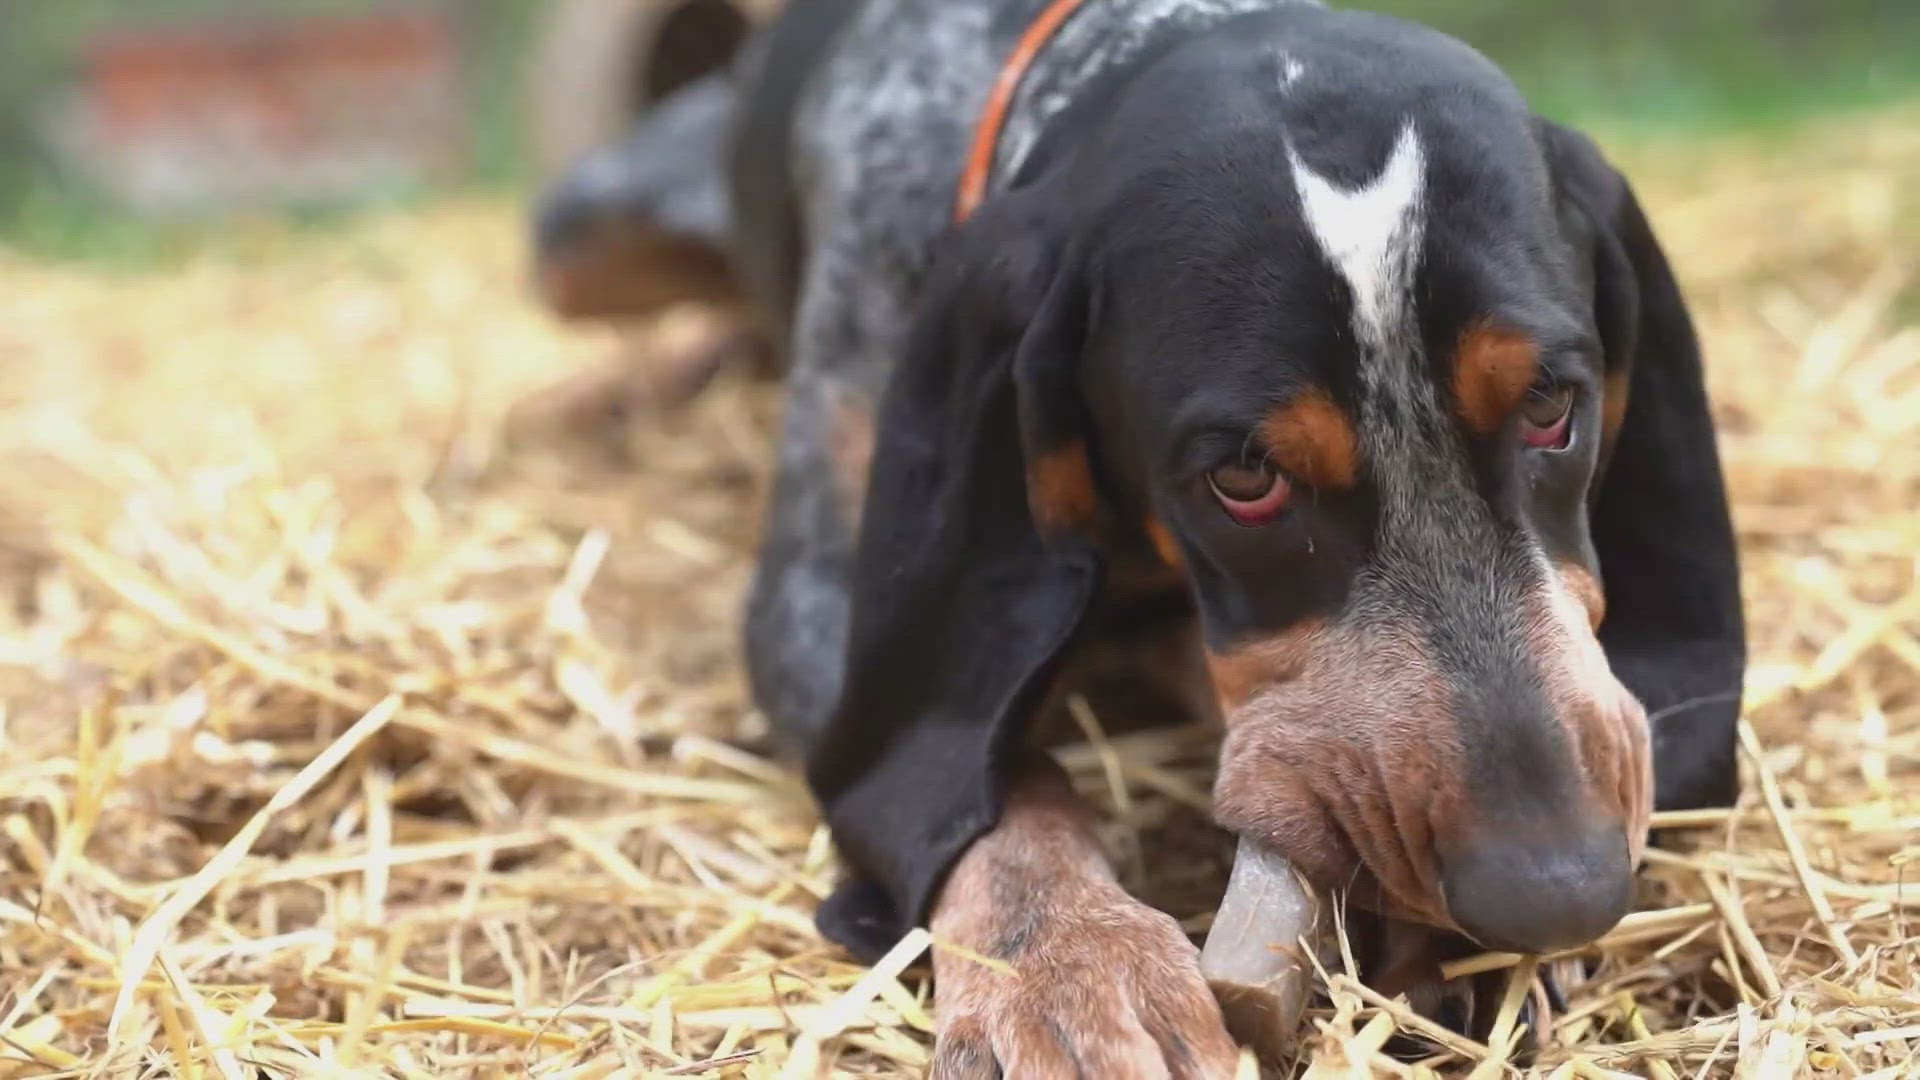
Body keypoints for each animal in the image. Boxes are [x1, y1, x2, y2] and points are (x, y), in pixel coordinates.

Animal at [537, 0, 1743, 1068]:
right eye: (1244, 477)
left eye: (1550, 406)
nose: (1560, 888)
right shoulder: (818, 603)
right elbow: (1001, 776)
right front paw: (1071, 970)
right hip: (580, 234)